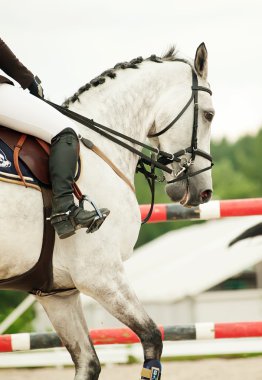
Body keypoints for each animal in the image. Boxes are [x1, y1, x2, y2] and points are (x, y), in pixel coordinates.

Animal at [0, 42, 215, 380]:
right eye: (208, 114)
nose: (203, 191)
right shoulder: (101, 275)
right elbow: (152, 338)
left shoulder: (58, 293)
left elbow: (88, 363)